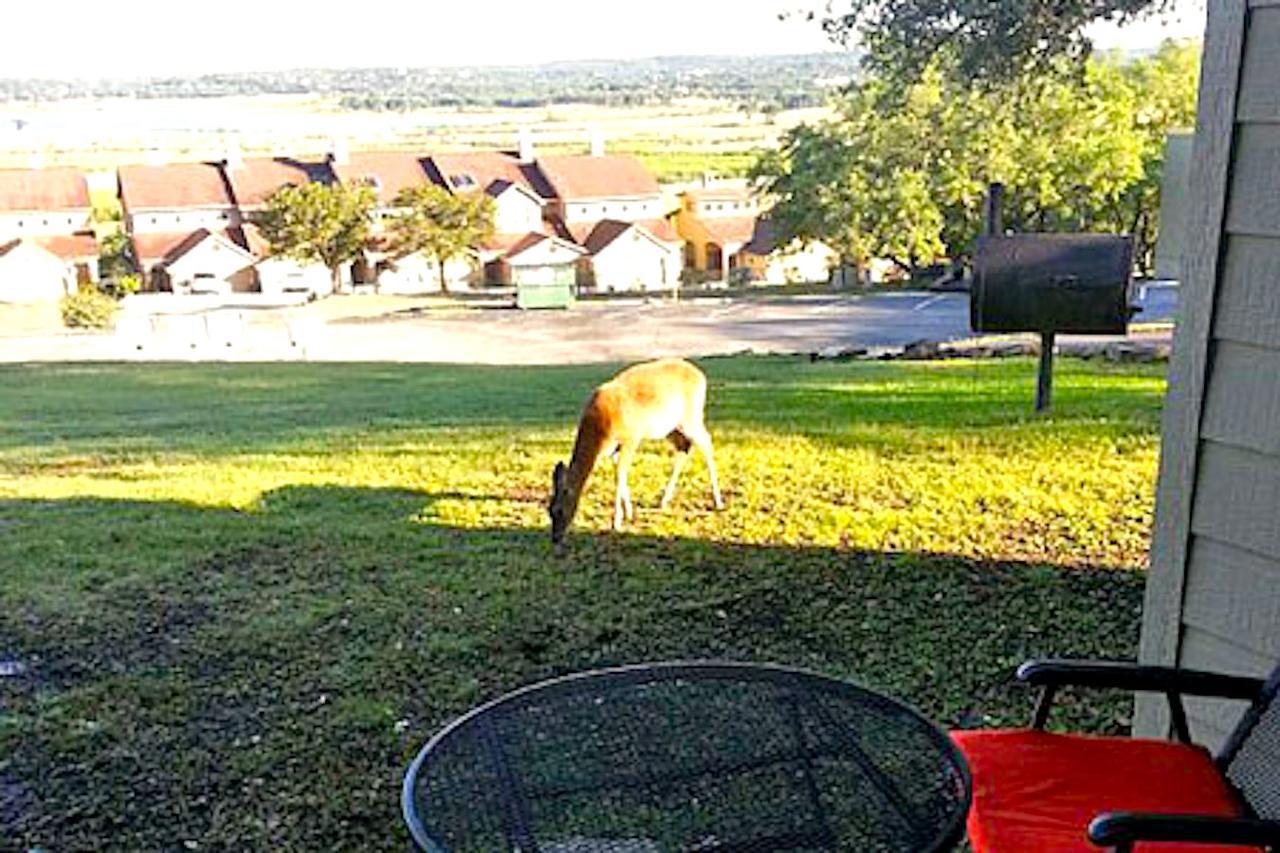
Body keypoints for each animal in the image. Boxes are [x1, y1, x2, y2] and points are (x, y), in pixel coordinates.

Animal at [550, 356, 727, 540]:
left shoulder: (631, 438)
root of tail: (701, 376)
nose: (555, 538)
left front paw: (616, 522)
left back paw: (718, 502)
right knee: (683, 447)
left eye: (559, 510)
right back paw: (663, 500)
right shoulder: (615, 450)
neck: (600, 432)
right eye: (549, 511)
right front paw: (628, 513)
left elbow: (621, 474)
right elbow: (618, 474)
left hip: (691, 417)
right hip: (671, 428)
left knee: (706, 441)